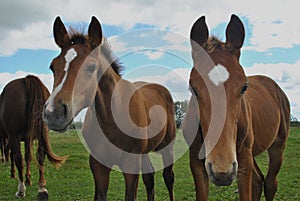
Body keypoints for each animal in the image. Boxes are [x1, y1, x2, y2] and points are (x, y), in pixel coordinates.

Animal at [43, 16, 177, 200]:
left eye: (91, 67)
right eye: (52, 66)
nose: (54, 113)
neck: (111, 119)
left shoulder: (131, 163)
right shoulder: (98, 164)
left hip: (167, 147)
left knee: (168, 178)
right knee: (149, 179)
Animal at [182, 14, 290, 201]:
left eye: (244, 87)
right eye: (193, 88)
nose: (222, 171)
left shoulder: (243, 161)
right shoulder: (196, 162)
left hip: (276, 147)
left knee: (270, 183)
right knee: (258, 180)